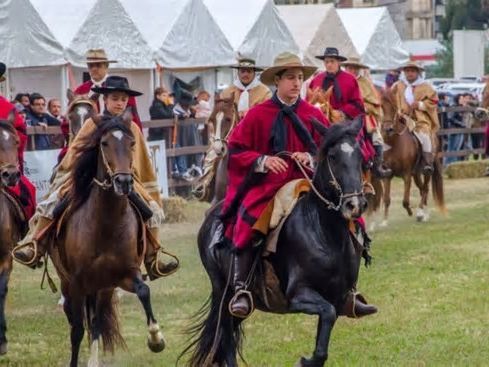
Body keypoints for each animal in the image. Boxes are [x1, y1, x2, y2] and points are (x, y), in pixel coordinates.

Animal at [49, 113, 165, 367]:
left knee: (97, 322)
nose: (123, 182)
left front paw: (156, 339)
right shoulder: (77, 283)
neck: (105, 226)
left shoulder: (122, 276)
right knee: (75, 320)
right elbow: (77, 331)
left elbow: (144, 291)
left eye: (132, 144)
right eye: (104, 143)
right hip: (69, 282)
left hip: (101, 288)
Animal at [183, 118, 370, 367]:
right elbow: (327, 313)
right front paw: (305, 361)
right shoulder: (298, 295)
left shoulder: (339, 298)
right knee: (226, 336)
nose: (355, 205)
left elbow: (326, 328)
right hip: (223, 291)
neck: (324, 233)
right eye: (332, 156)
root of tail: (212, 216)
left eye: (359, 156)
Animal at [378, 90, 446, 227]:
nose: (388, 129)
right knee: (422, 190)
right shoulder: (387, 175)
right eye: (382, 106)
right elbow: (387, 199)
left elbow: (405, 201)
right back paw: (424, 213)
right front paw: (384, 221)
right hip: (416, 174)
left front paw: (410, 211)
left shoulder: (406, 175)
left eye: (394, 107)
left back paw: (420, 214)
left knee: (425, 189)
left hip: (426, 171)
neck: (395, 143)